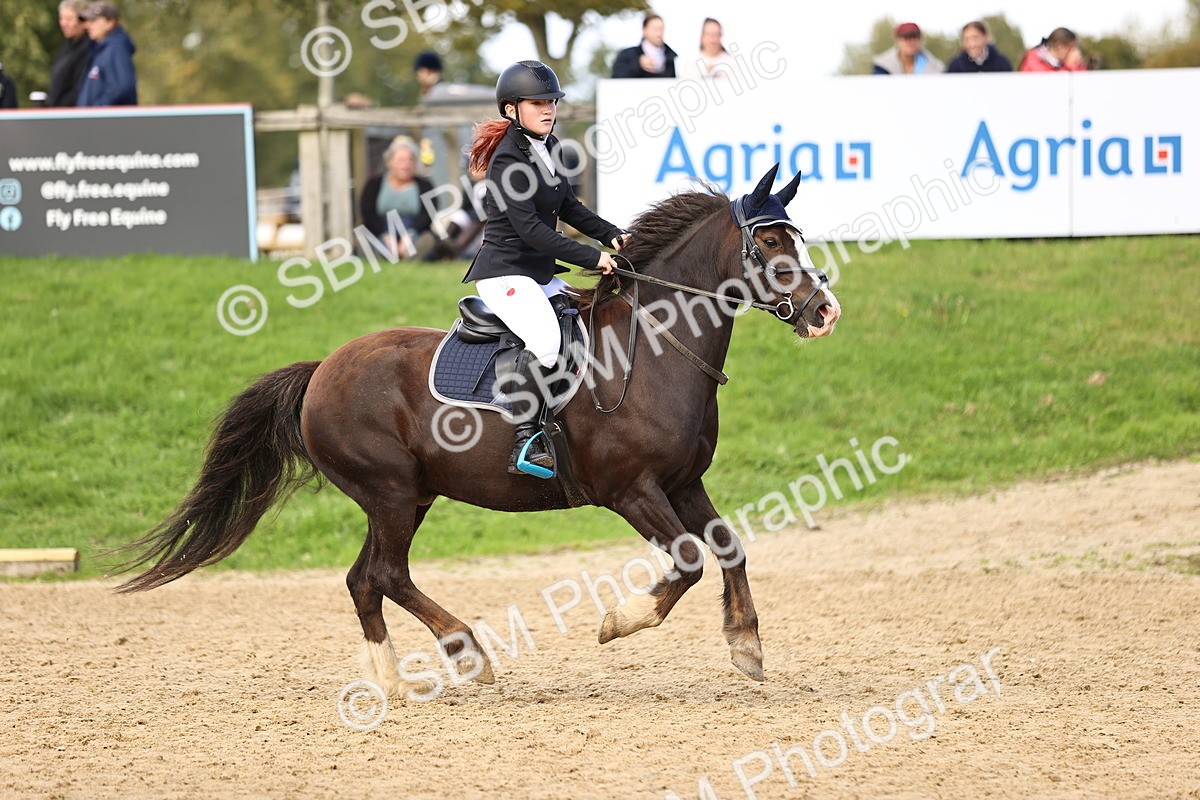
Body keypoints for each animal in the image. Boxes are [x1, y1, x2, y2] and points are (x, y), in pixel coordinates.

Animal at [114, 163, 842, 696]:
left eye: (798, 237)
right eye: (771, 243)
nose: (824, 311)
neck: (655, 348)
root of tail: (323, 369)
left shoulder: (684, 483)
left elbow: (729, 549)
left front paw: (746, 645)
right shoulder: (631, 490)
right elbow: (689, 560)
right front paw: (618, 623)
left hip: (407, 496)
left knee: (366, 579)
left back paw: (393, 679)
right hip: (391, 492)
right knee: (385, 574)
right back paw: (465, 656)